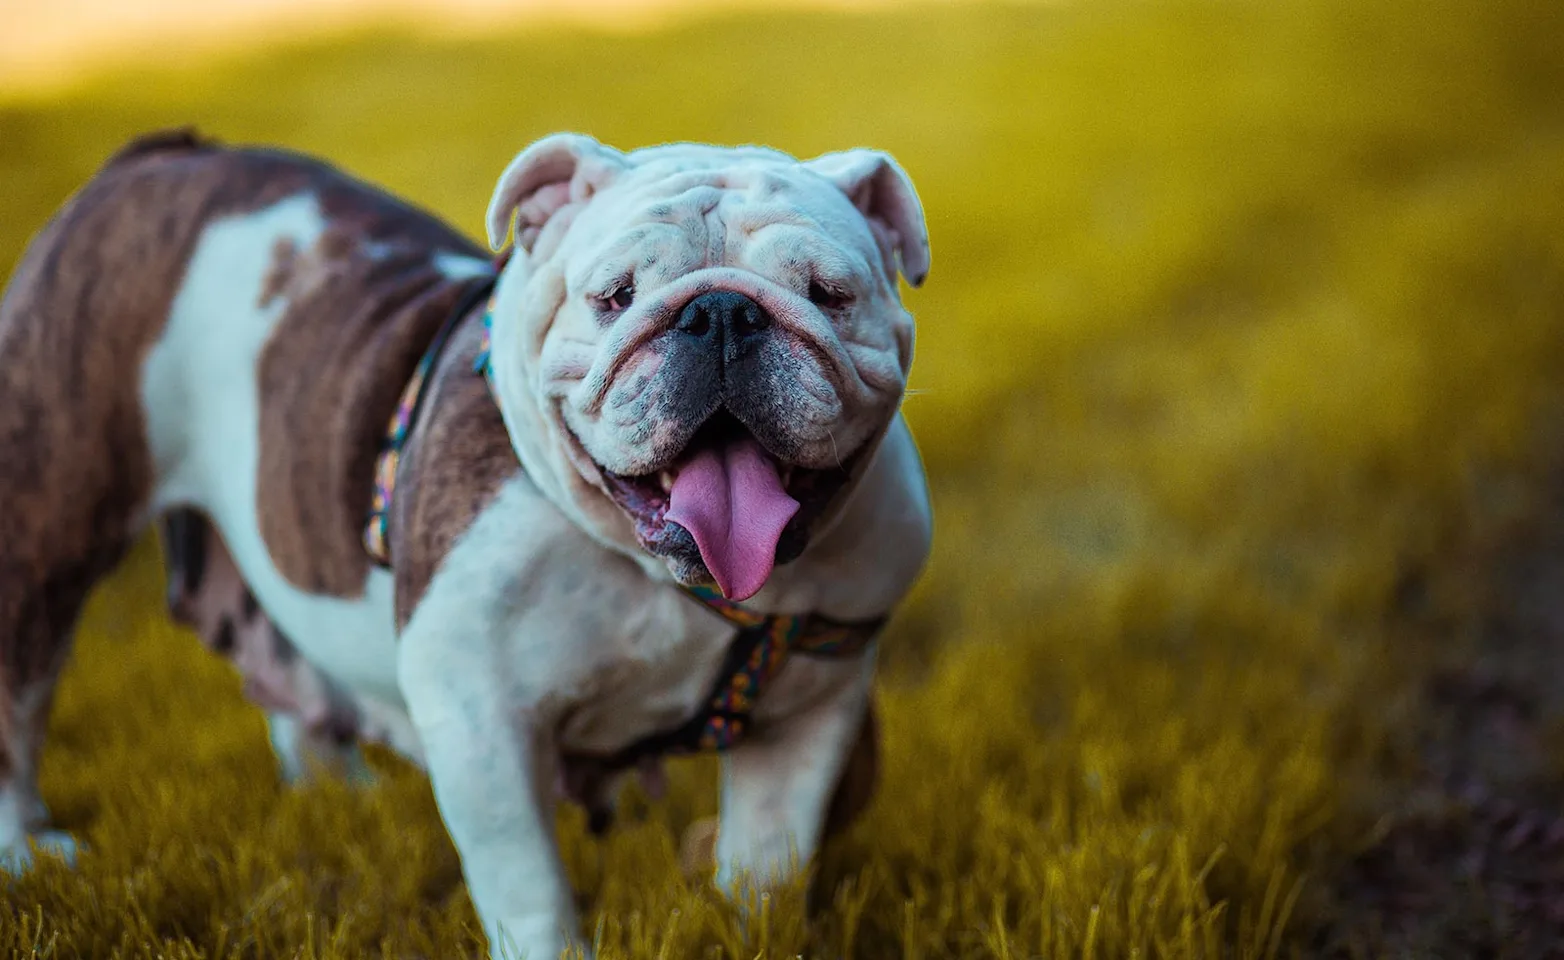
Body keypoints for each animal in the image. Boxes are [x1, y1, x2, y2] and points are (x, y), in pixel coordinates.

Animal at [0, 129, 925, 960]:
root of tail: (162, 155)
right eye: (615, 296)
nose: (723, 311)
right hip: (45, 528)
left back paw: (339, 794)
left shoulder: (808, 712)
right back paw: (29, 852)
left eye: (830, 294)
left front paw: (755, 929)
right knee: (20, 699)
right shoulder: (482, 719)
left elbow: (768, 865)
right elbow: (531, 888)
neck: (658, 572)